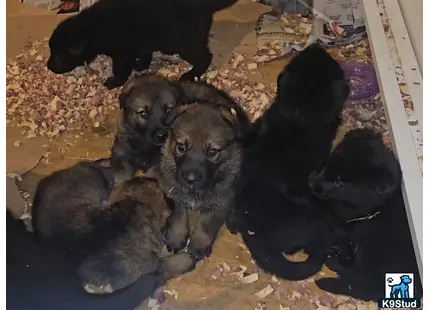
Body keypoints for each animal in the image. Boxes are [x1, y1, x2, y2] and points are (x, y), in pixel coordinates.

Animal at [47, 0, 239, 88]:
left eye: (58, 53)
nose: (48, 66)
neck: (94, 28)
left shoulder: (122, 54)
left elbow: (121, 70)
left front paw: (114, 81)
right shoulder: (141, 42)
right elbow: (145, 53)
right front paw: (141, 64)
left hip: (185, 42)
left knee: (204, 56)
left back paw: (192, 74)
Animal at [157, 95, 245, 262]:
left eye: (212, 152)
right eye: (181, 147)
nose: (190, 179)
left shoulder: (222, 199)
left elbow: (207, 224)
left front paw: (199, 244)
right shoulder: (172, 189)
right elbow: (178, 215)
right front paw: (176, 237)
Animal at [310, 128, 424, 300]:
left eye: (340, 183)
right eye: (329, 164)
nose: (312, 184)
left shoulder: (345, 214)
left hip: (368, 232)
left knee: (361, 276)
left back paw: (334, 260)